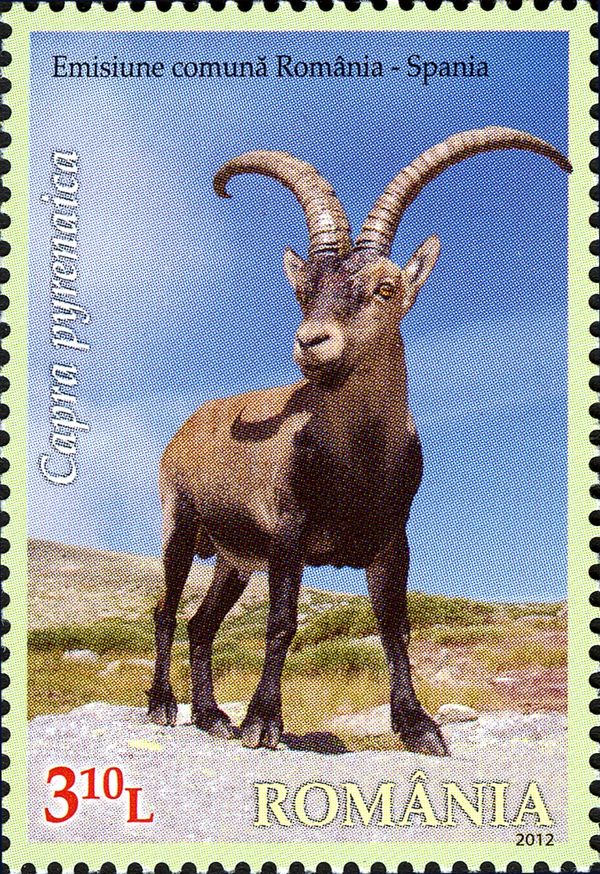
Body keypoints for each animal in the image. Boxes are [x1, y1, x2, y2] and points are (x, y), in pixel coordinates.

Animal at [148, 127, 571, 756]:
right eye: (305, 291)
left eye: (386, 287)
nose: (311, 342)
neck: (355, 462)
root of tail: (188, 427)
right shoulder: (288, 534)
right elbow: (282, 621)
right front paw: (263, 722)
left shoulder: (390, 540)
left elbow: (395, 626)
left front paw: (419, 726)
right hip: (180, 525)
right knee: (166, 610)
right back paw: (163, 705)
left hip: (232, 557)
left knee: (202, 623)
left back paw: (211, 716)